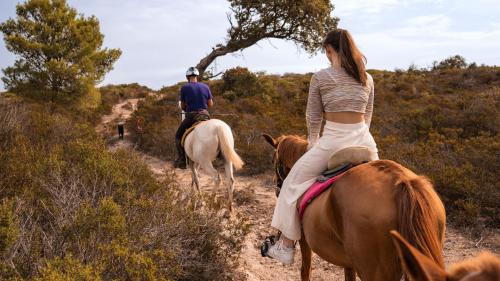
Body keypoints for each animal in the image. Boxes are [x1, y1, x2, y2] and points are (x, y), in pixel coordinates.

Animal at [264, 134, 448, 280]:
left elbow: (305, 271)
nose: (277, 188)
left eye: (273, 160)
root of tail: (401, 181)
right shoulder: (349, 262)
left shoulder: (304, 241)